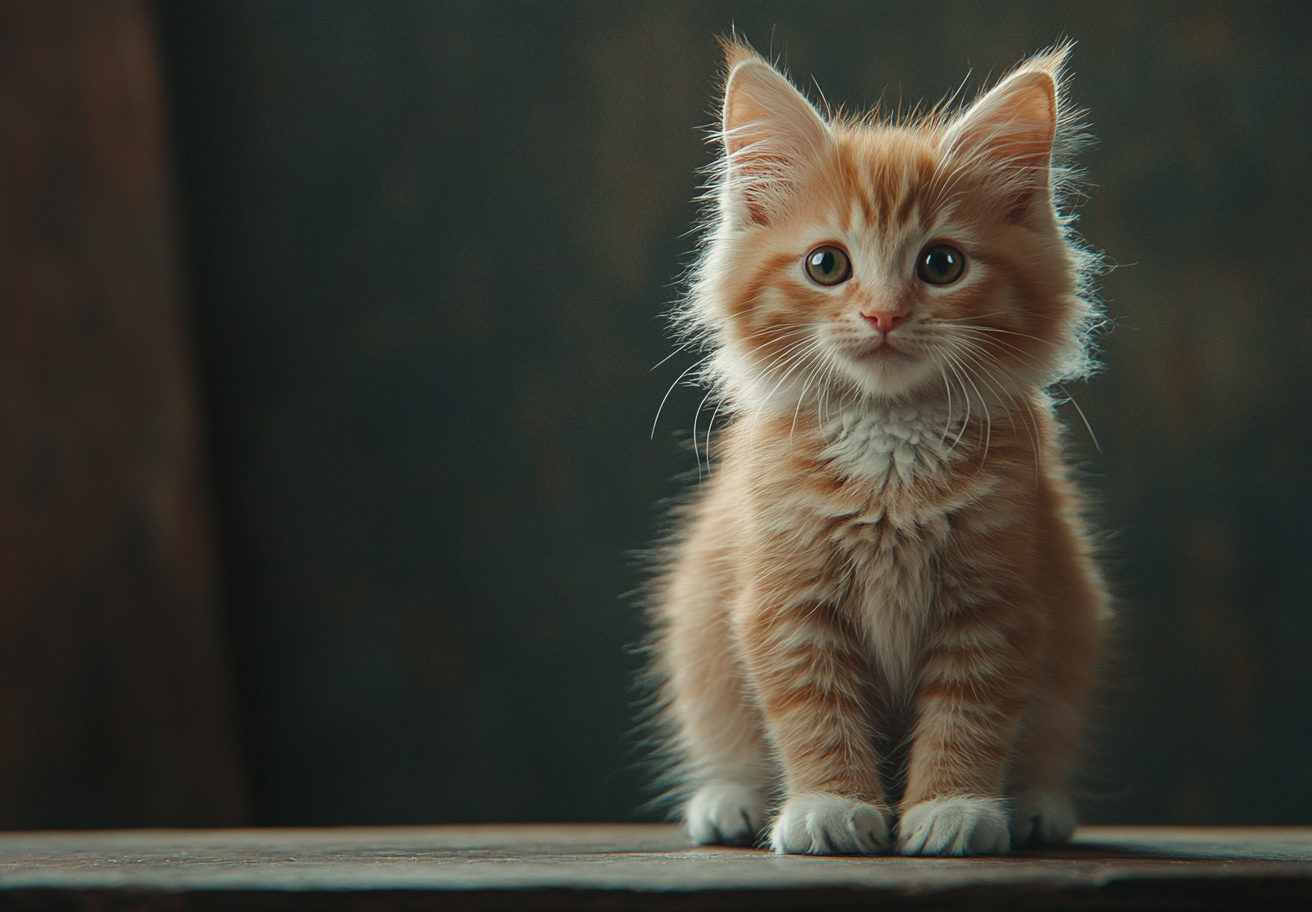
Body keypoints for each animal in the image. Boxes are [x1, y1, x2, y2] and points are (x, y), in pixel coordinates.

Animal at [645, 39, 1107, 860]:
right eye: (827, 264)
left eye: (942, 265)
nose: (884, 315)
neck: (891, 447)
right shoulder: (784, 601)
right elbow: (812, 711)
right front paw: (829, 805)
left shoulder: (997, 601)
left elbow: (968, 714)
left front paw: (954, 807)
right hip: (700, 637)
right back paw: (728, 799)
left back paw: (1034, 805)